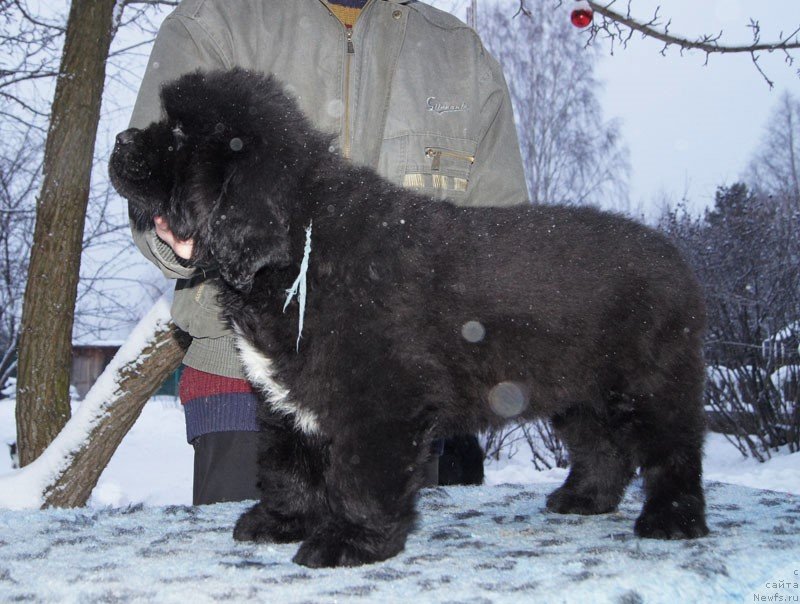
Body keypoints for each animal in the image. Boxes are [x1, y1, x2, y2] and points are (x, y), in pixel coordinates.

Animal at [109, 69, 708, 568]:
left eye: (179, 135)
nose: (120, 140)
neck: (300, 243)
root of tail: (678, 259)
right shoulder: (288, 396)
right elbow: (288, 465)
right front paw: (280, 522)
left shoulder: (380, 399)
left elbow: (360, 478)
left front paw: (347, 542)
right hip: (577, 391)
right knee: (603, 447)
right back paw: (583, 498)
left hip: (652, 384)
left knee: (673, 451)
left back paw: (672, 520)